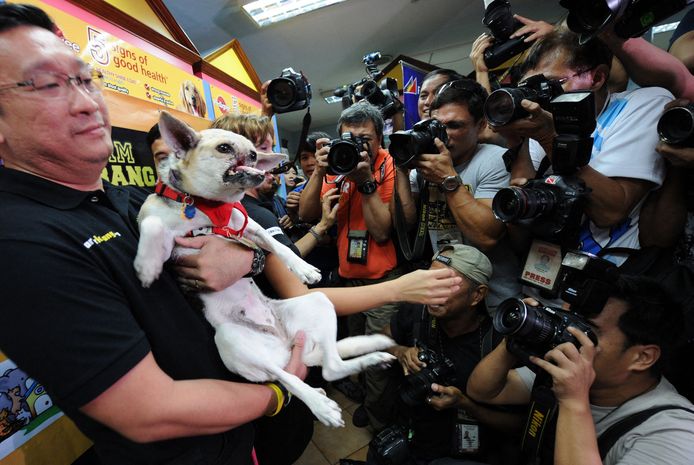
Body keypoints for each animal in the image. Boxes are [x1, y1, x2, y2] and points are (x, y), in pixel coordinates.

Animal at [135, 111, 396, 424]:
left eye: (253, 151)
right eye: (224, 148)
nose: (253, 155)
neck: (206, 206)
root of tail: (285, 345)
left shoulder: (247, 226)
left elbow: (276, 245)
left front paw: (303, 268)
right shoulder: (168, 240)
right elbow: (152, 225)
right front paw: (146, 265)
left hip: (318, 303)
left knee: (330, 363)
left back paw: (372, 357)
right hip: (231, 339)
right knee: (290, 377)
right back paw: (321, 404)